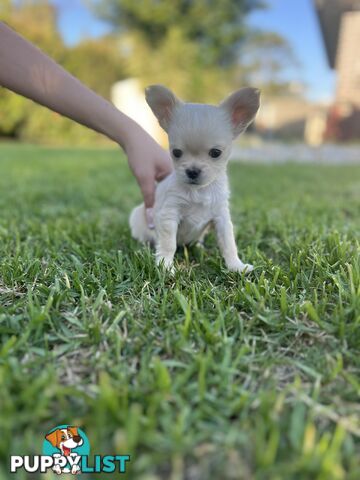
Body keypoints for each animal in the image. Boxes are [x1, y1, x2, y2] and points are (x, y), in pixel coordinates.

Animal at [129, 86, 258, 272]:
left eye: (216, 153)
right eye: (176, 152)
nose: (192, 171)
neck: (199, 191)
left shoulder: (221, 218)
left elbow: (228, 244)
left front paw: (236, 266)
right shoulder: (169, 215)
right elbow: (168, 244)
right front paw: (165, 266)